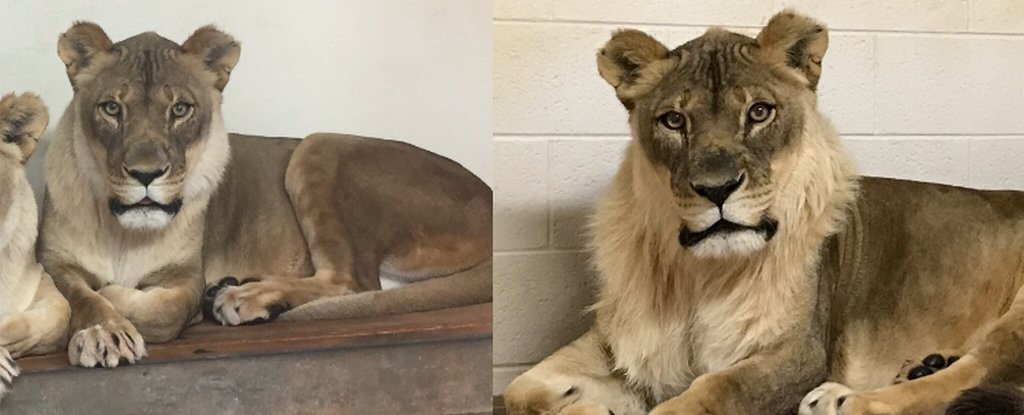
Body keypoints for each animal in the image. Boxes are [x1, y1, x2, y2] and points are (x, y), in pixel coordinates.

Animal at [40, 22, 492, 369]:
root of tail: (486, 191)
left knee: (353, 282)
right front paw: (104, 332)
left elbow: (161, 310)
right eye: (112, 108)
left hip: (318, 146)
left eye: (181, 109)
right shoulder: (54, 260)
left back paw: (241, 297)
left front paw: (114, 299)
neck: (123, 232)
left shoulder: (186, 277)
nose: (146, 174)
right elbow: (77, 295)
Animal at [504, 10, 1024, 415]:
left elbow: (712, 390)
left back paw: (843, 400)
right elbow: (519, 388)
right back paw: (922, 365)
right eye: (674, 120)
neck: (699, 277)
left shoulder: (798, 354)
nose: (716, 189)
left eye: (759, 112)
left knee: (966, 380)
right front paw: (588, 404)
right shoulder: (620, 341)